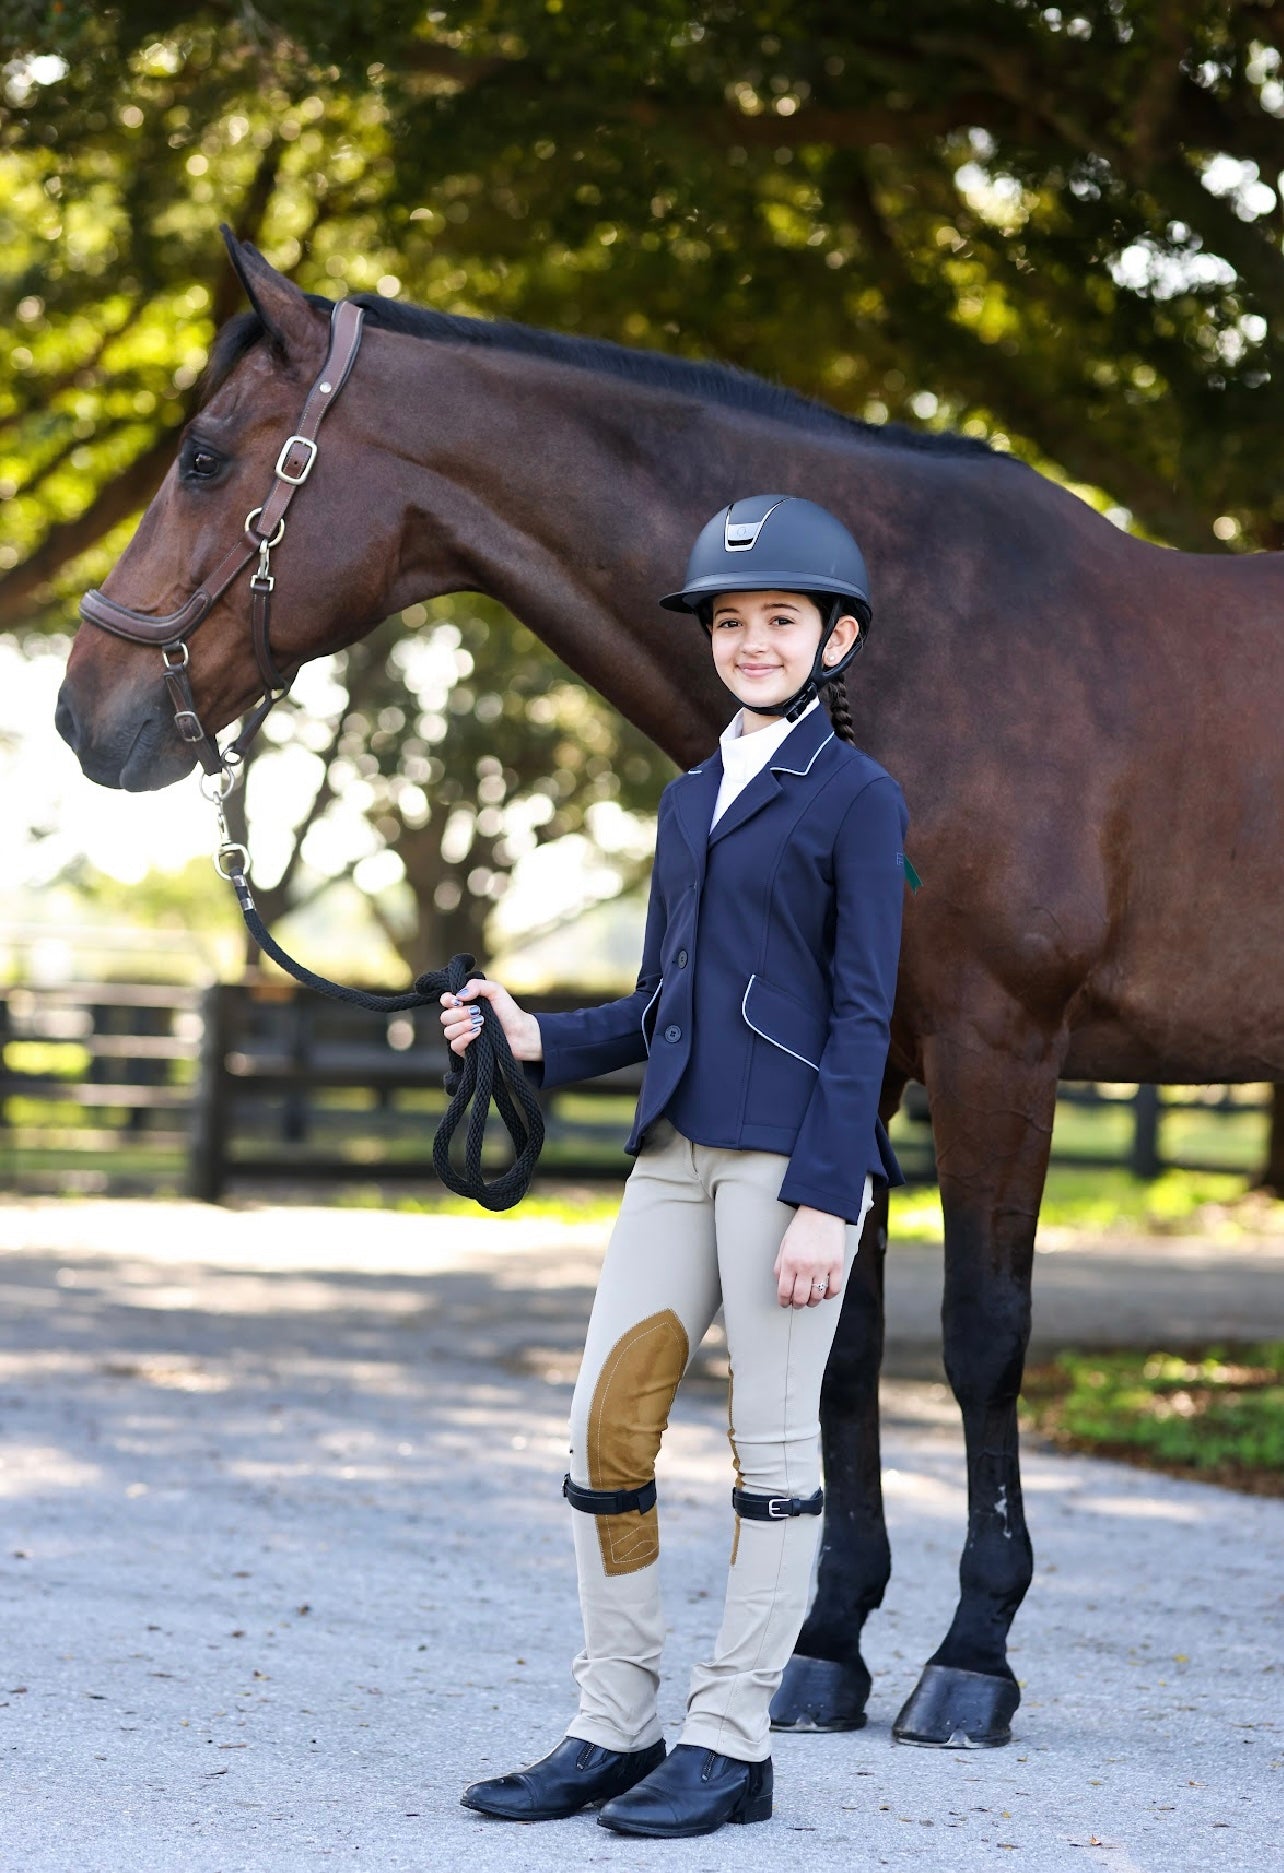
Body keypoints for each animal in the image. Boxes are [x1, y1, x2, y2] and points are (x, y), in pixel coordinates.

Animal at [56, 228, 1284, 1748]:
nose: (82, 712)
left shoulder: (1002, 1046)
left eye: (208, 456)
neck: (935, 648)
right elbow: (840, 1343)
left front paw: (970, 1662)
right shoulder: (865, 1059)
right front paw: (825, 1647)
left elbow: (981, 1340)